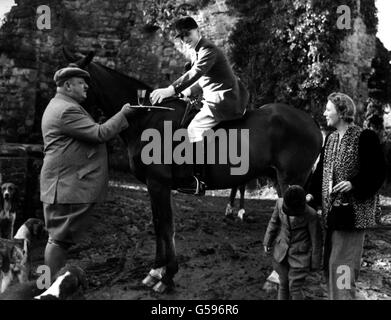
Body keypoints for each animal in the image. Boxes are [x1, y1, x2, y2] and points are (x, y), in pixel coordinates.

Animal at [66, 49, 324, 292]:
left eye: (79, 82)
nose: (62, 112)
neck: (148, 116)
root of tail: (312, 122)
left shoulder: (158, 184)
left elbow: (165, 225)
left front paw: (166, 276)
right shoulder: (154, 186)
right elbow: (159, 224)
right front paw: (156, 271)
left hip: (289, 180)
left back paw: (275, 278)